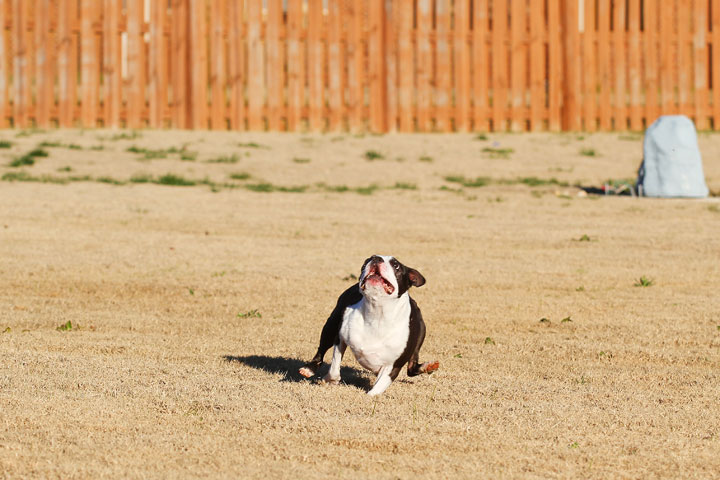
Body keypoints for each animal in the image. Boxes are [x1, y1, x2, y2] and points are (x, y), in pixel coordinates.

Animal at [300, 256, 438, 396]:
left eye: (396, 265)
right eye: (367, 261)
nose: (377, 258)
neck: (377, 313)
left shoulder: (393, 365)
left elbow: (377, 389)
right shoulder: (341, 338)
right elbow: (334, 367)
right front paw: (330, 380)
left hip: (421, 333)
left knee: (411, 367)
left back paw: (427, 367)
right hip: (331, 325)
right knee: (322, 349)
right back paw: (308, 369)